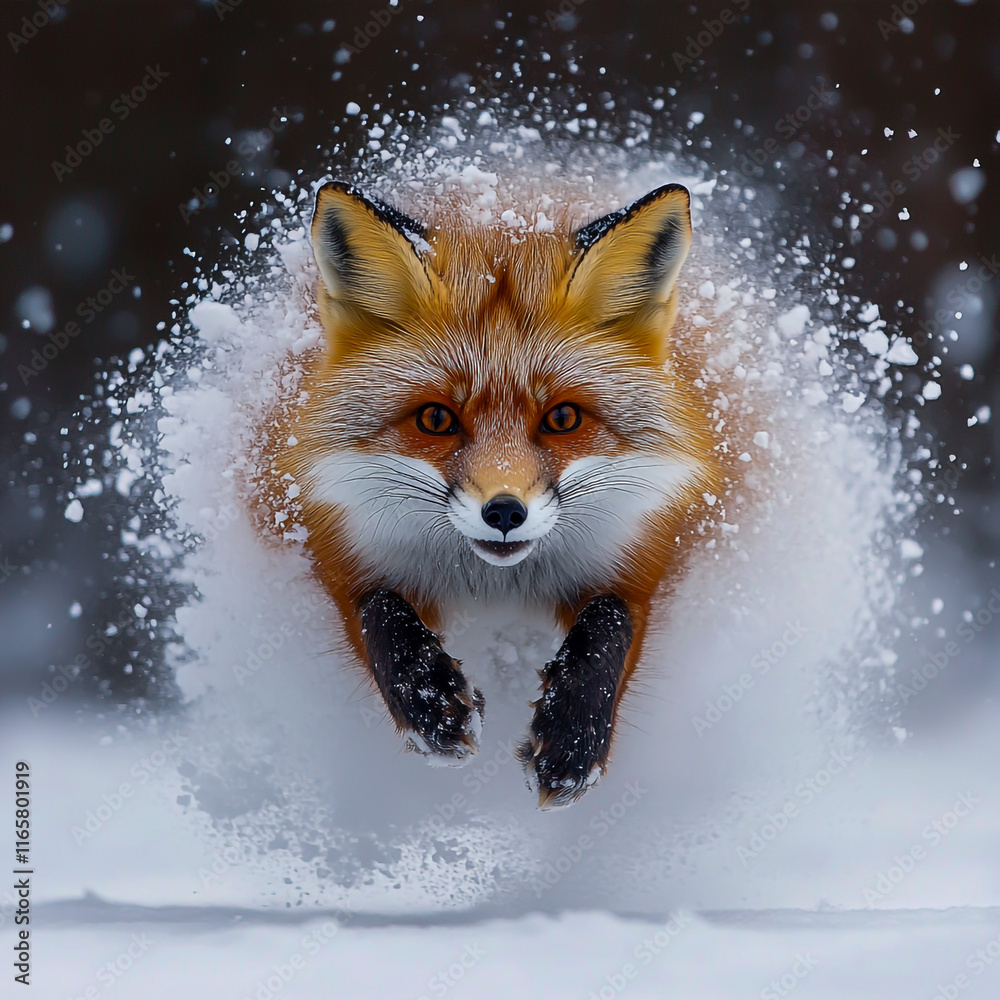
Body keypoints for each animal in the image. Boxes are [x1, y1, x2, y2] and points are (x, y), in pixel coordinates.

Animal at [258, 179, 728, 808]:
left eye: (562, 418)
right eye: (436, 418)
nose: (504, 511)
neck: (496, 584)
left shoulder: (639, 552)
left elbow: (608, 626)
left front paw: (571, 740)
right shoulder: (338, 541)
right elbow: (379, 608)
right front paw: (432, 706)